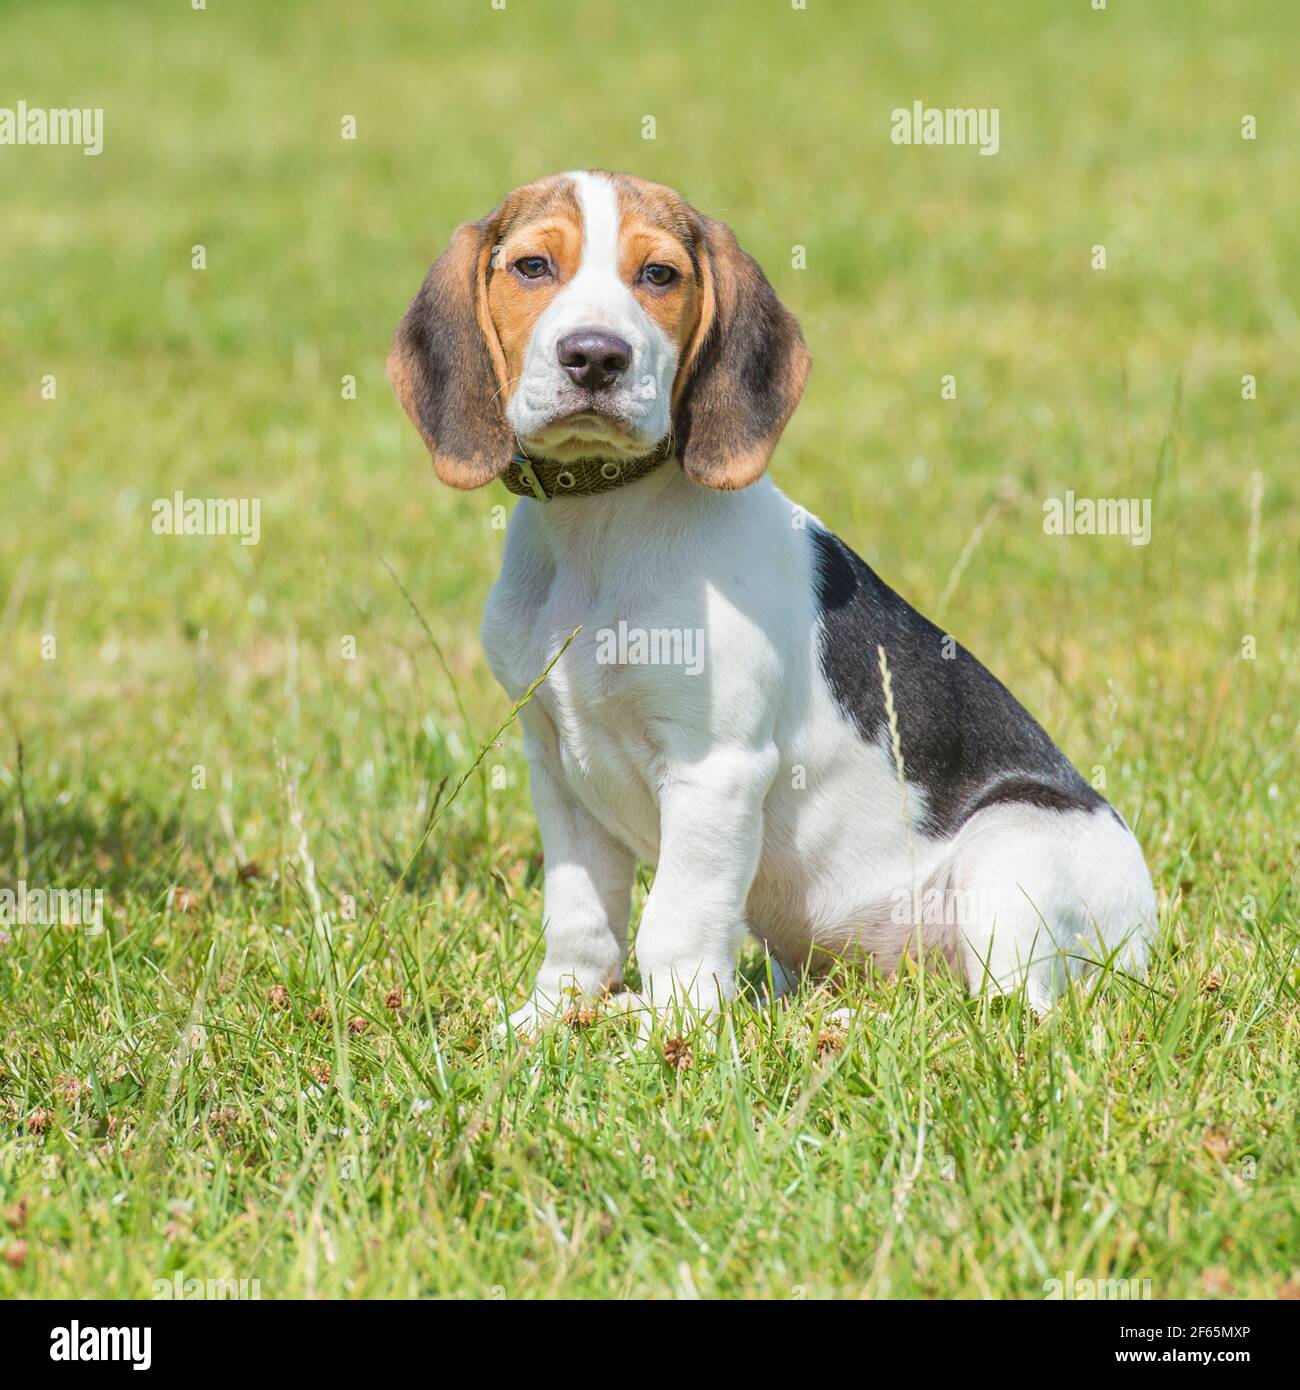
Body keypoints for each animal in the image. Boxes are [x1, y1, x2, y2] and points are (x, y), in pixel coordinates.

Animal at [389, 168, 1156, 1028]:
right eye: (531, 267)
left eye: (659, 275)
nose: (594, 357)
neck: (601, 521)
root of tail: (1150, 928)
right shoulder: (556, 765)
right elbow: (581, 917)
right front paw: (554, 1016)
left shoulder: (713, 767)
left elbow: (677, 920)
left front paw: (671, 1028)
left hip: (1010, 847)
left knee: (1006, 1010)